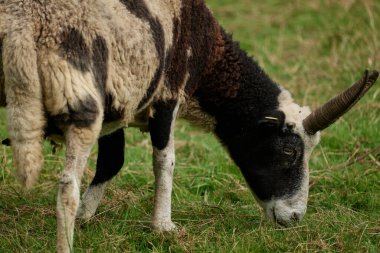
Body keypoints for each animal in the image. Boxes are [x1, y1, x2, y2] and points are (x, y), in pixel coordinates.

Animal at [0, 0, 378, 252]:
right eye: (288, 152)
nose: (296, 217)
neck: (209, 60)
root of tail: (24, 29)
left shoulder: (122, 101)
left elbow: (113, 160)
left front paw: (87, 216)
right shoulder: (167, 94)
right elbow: (164, 162)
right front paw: (164, 226)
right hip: (79, 96)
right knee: (67, 188)